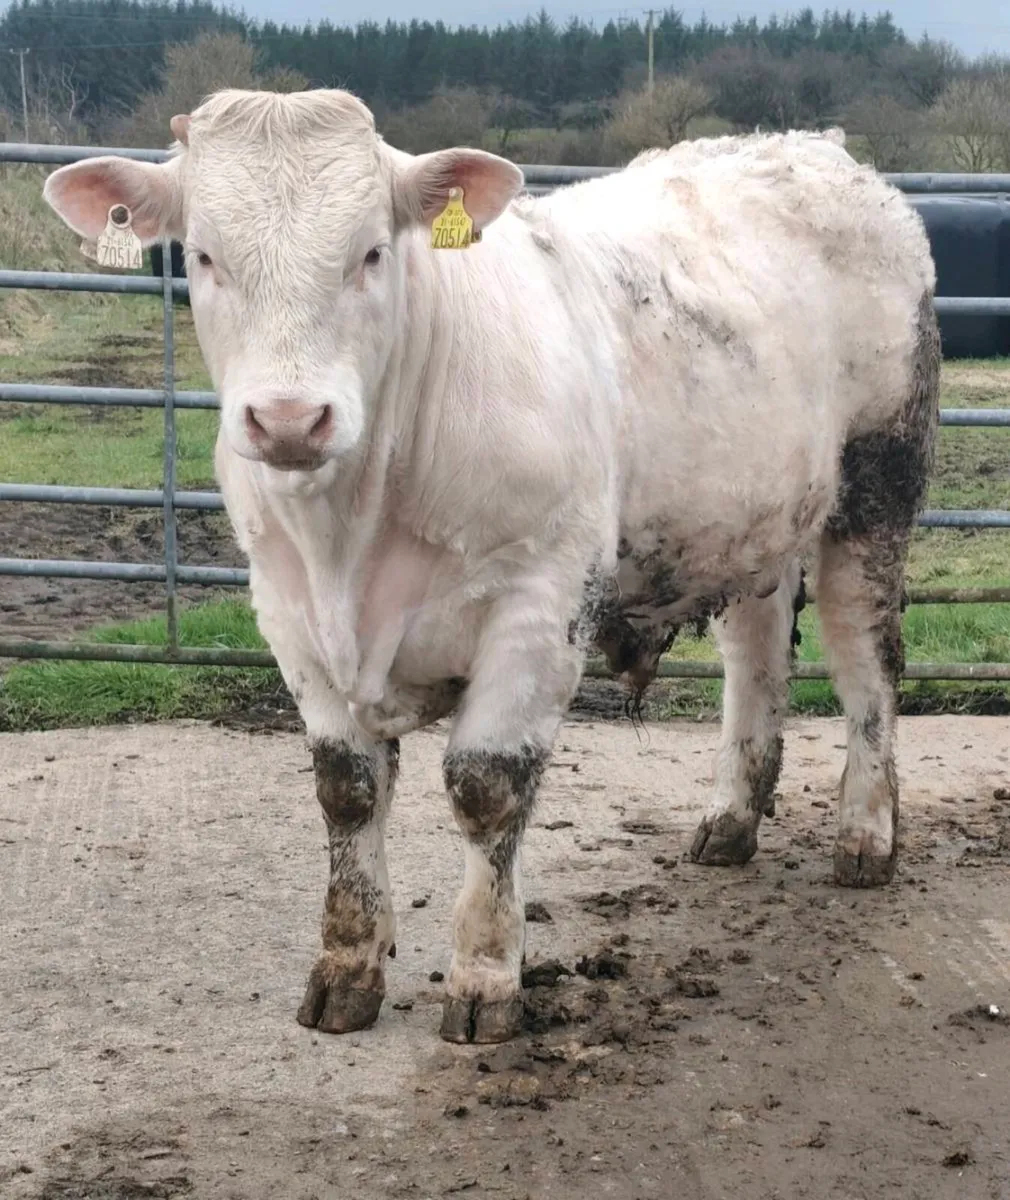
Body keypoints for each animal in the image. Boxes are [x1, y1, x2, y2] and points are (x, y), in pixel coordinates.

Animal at [43, 89, 939, 1045]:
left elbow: (487, 788)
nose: (289, 420)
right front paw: (346, 968)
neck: (351, 537)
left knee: (865, 661)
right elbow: (346, 791)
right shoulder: (286, 612)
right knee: (758, 653)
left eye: (372, 252)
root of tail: (816, 147)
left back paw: (866, 836)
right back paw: (729, 822)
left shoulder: (541, 601)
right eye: (204, 256)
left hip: (878, 485)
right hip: (748, 519)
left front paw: (484, 977)